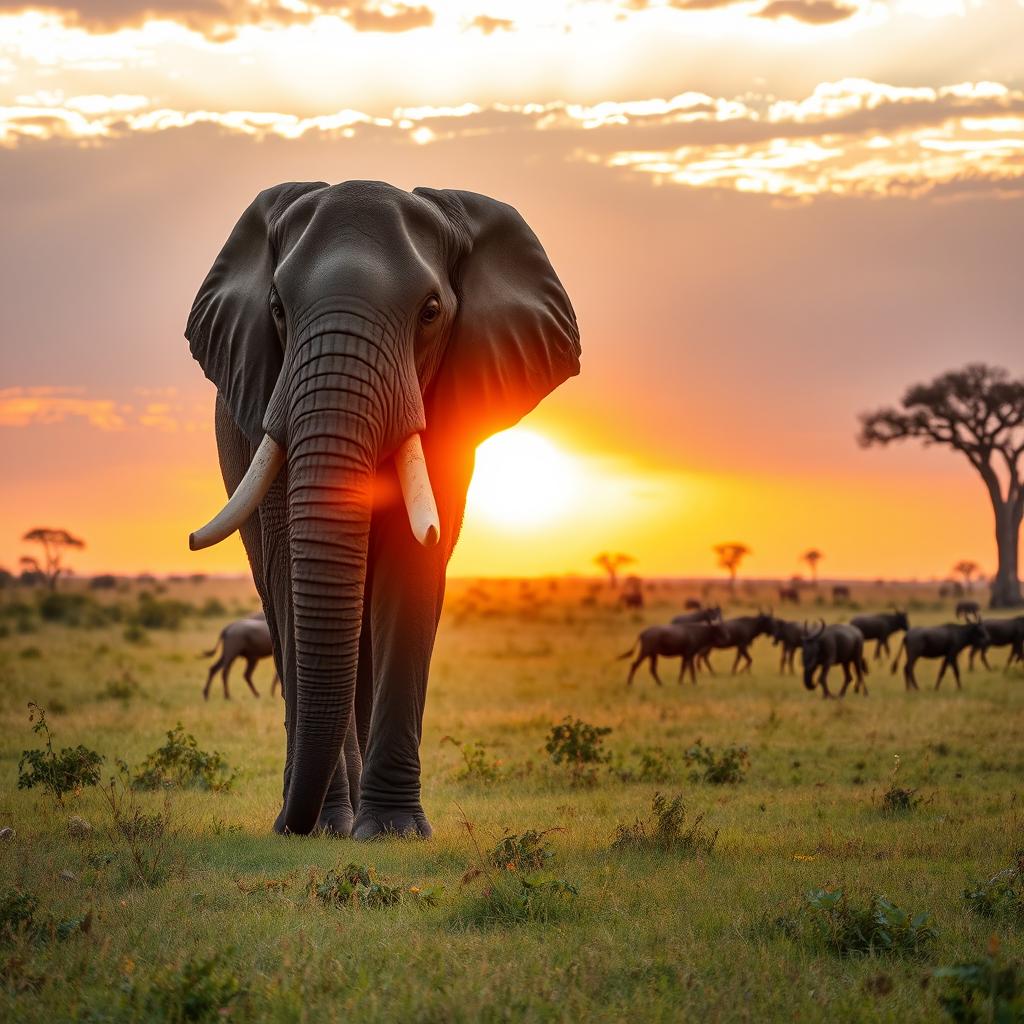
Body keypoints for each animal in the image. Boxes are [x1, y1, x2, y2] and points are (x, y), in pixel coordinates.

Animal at [185, 180, 580, 840]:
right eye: (277, 309)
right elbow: (291, 570)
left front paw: (393, 832)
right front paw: (331, 825)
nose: (294, 826)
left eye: (430, 312)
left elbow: (412, 565)